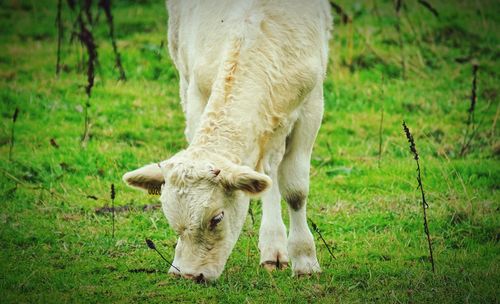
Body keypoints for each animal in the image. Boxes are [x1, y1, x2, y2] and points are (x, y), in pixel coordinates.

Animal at [122, 0, 330, 282]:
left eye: (217, 218)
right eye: (171, 219)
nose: (189, 275)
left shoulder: (311, 105)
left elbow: (296, 191)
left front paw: (305, 259)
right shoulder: (197, 92)